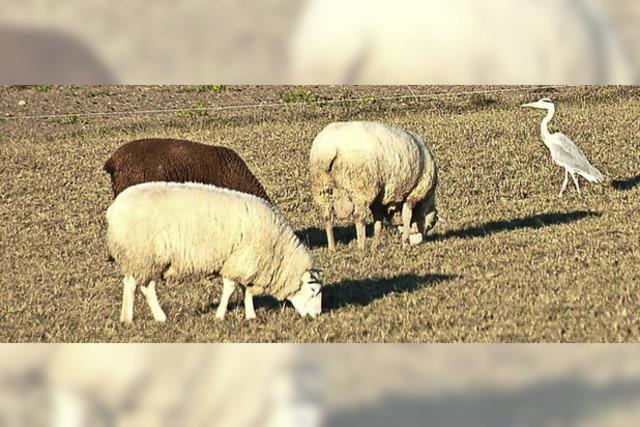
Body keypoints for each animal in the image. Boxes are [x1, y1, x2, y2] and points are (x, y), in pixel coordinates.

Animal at [107, 181, 324, 324]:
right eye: (314, 291)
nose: (317, 316)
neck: (277, 248)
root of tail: (113, 209)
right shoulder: (238, 260)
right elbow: (231, 289)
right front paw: (220, 315)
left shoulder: (244, 263)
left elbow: (246, 291)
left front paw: (250, 316)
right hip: (142, 255)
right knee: (138, 286)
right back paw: (146, 318)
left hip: (144, 259)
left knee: (138, 285)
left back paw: (137, 318)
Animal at [310, 121, 440, 251]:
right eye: (430, 225)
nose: (420, 243)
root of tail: (332, 148)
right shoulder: (412, 195)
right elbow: (407, 218)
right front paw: (404, 242)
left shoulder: (379, 201)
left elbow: (379, 223)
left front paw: (375, 246)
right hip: (361, 187)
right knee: (359, 217)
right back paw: (361, 247)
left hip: (323, 188)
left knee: (328, 216)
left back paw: (332, 247)